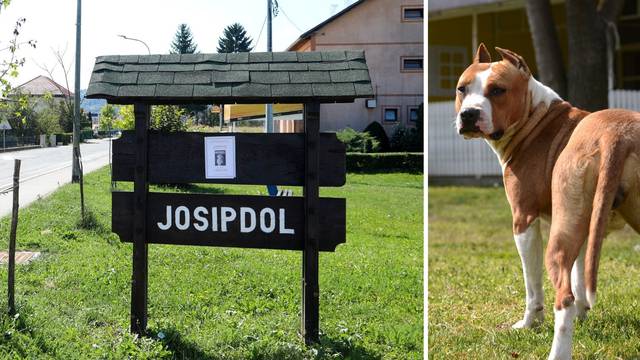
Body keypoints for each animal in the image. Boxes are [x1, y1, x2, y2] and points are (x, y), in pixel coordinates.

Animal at [456, 43, 640, 358]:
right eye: (462, 89)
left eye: (497, 90)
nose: (469, 114)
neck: (537, 119)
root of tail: (617, 134)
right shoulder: (583, 227)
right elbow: (580, 276)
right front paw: (584, 313)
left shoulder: (524, 222)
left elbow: (533, 285)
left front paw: (530, 323)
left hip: (556, 242)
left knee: (562, 297)